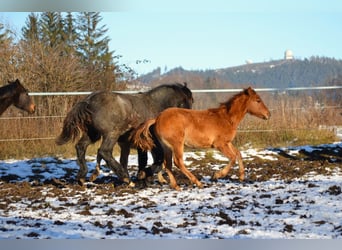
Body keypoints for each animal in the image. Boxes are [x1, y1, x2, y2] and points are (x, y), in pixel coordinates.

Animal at [54, 83, 191, 186]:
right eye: (186, 103)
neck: (155, 105)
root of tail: (88, 101)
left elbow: (145, 160)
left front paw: (145, 178)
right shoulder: (152, 144)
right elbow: (156, 161)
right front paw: (144, 176)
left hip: (93, 134)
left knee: (81, 147)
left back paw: (82, 176)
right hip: (111, 134)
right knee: (104, 151)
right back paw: (125, 178)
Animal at [134, 87, 270, 190]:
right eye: (258, 100)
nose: (268, 114)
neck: (226, 118)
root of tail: (157, 118)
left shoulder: (227, 142)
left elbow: (238, 153)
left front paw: (241, 177)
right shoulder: (220, 144)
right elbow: (232, 157)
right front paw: (217, 175)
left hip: (167, 146)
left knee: (168, 164)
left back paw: (175, 186)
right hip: (177, 144)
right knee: (178, 162)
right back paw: (198, 183)